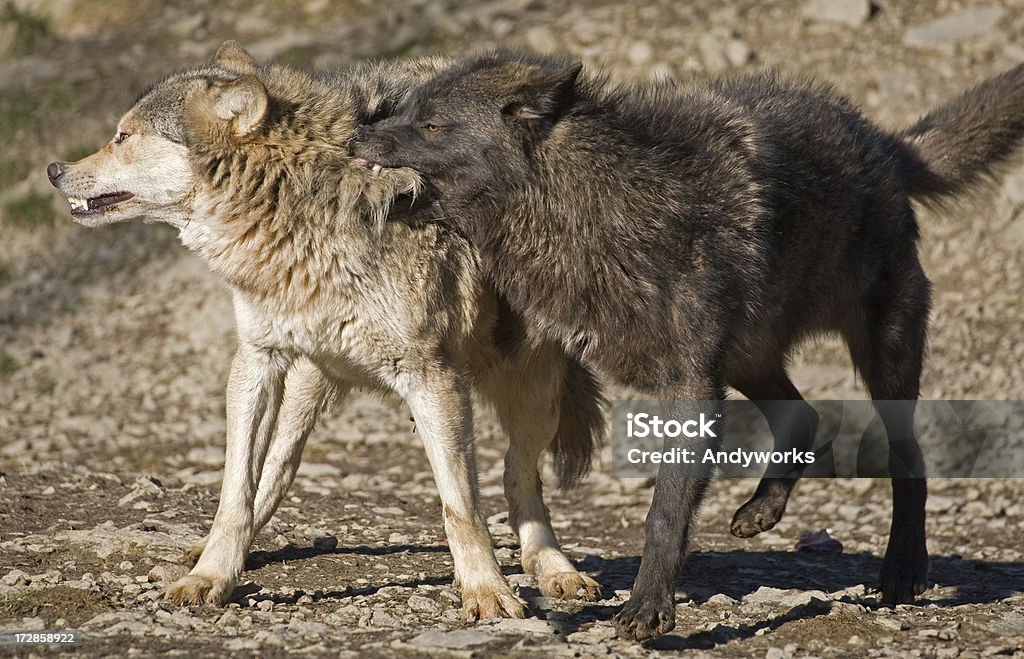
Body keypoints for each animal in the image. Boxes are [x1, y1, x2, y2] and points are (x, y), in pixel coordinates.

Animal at [48, 42, 602, 622]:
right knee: (278, 469)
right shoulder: (257, 359)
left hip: (534, 393)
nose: (54, 169)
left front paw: (486, 590)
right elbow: (235, 493)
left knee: (518, 476)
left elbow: (462, 507)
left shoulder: (432, 377)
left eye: (123, 136)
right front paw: (211, 577)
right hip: (312, 378)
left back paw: (555, 569)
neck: (304, 202)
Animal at [350, 50, 1024, 638]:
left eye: (432, 124)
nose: (357, 136)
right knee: (804, 412)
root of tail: (883, 143)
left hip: (880, 354)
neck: (593, 204)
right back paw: (764, 509)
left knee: (908, 458)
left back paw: (904, 569)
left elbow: (665, 513)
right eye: (404, 110)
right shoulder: (699, 377)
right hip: (750, 358)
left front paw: (649, 608)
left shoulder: (691, 387)